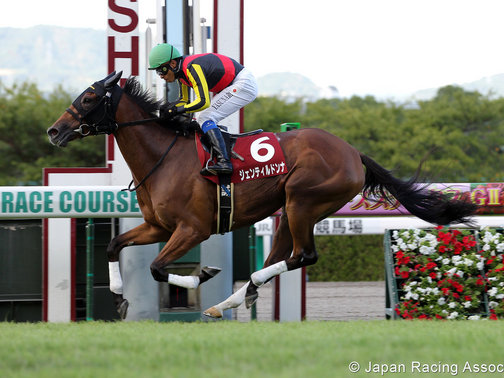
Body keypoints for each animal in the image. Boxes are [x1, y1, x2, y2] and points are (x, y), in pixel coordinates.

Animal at [47, 71, 476, 318]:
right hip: (288, 209)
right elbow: (114, 246)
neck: (163, 157)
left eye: (88, 98)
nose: (54, 130)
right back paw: (229, 302)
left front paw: (203, 274)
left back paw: (235, 295)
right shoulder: (157, 226)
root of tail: (353, 152)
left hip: (303, 201)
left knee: (303, 256)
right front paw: (120, 299)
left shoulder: (193, 229)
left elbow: (156, 267)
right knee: (280, 257)